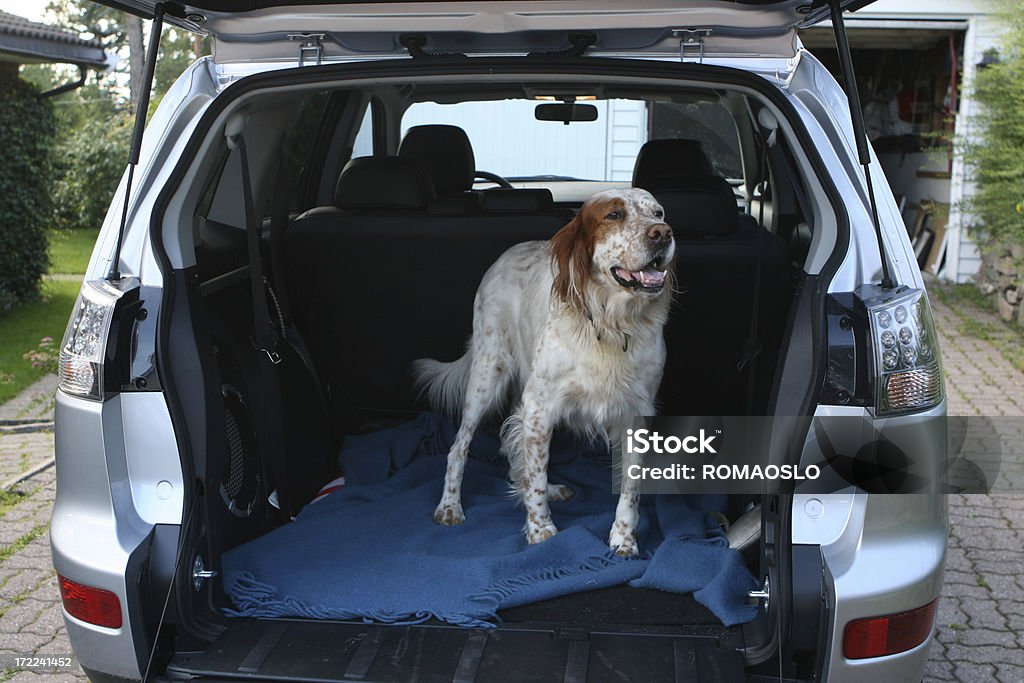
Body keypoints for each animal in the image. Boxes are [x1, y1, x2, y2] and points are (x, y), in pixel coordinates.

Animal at [411, 187, 675, 557]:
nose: (663, 234)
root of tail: (506, 255)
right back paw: (450, 505)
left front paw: (624, 539)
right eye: (614, 215)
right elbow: (534, 474)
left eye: (659, 214)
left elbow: (630, 489)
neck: (610, 325)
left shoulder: (636, 413)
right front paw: (541, 531)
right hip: (487, 375)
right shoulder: (539, 407)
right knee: (459, 447)